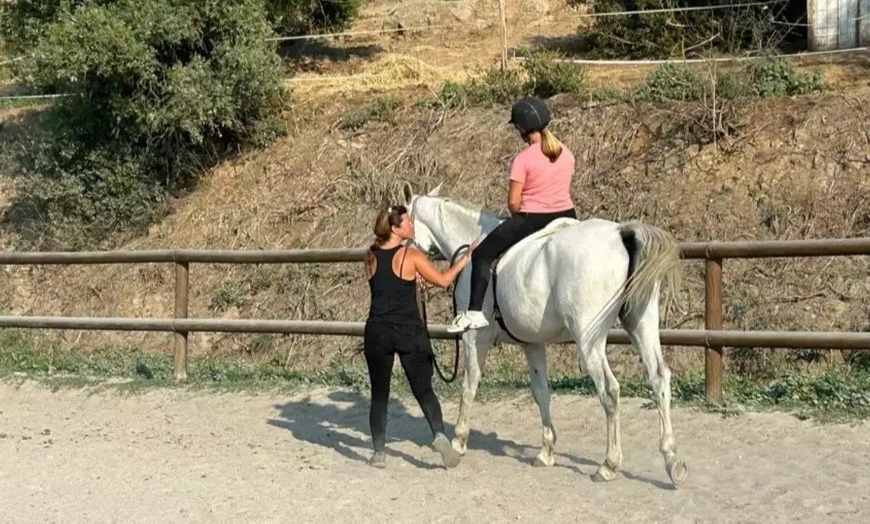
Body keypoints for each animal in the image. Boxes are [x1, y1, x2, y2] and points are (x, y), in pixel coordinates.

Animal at [402, 182, 689, 487]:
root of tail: (619, 233)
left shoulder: (474, 339)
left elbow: (469, 385)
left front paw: (458, 440)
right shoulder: (532, 344)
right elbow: (541, 392)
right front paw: (546, 451)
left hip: (589, 340)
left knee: (610, 391)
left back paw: (608, 465)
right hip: (641, 324)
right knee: (659, 378)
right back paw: (672, 460)